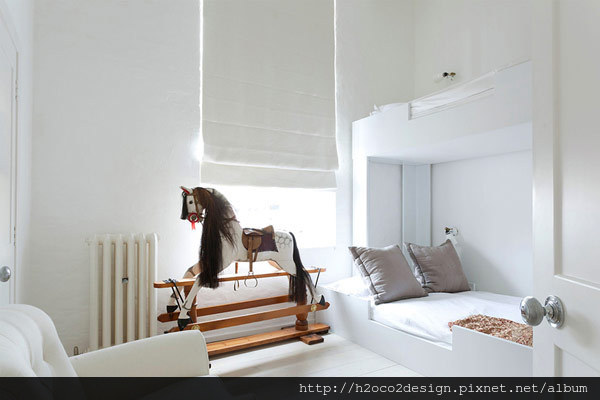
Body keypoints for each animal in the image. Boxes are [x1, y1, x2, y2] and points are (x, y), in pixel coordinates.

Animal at [167, 186, 325, 330]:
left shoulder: (222, 262)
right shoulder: (212, 261)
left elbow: (198, 280)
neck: (227, 231)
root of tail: (289, 233)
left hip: (287, 263)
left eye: (190, 201)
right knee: (295, 275)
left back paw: (319, 299)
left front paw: (182, 317)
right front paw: (171, 304)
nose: (185, 217)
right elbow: (188, 272)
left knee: (304, 274)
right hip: (278, 263)